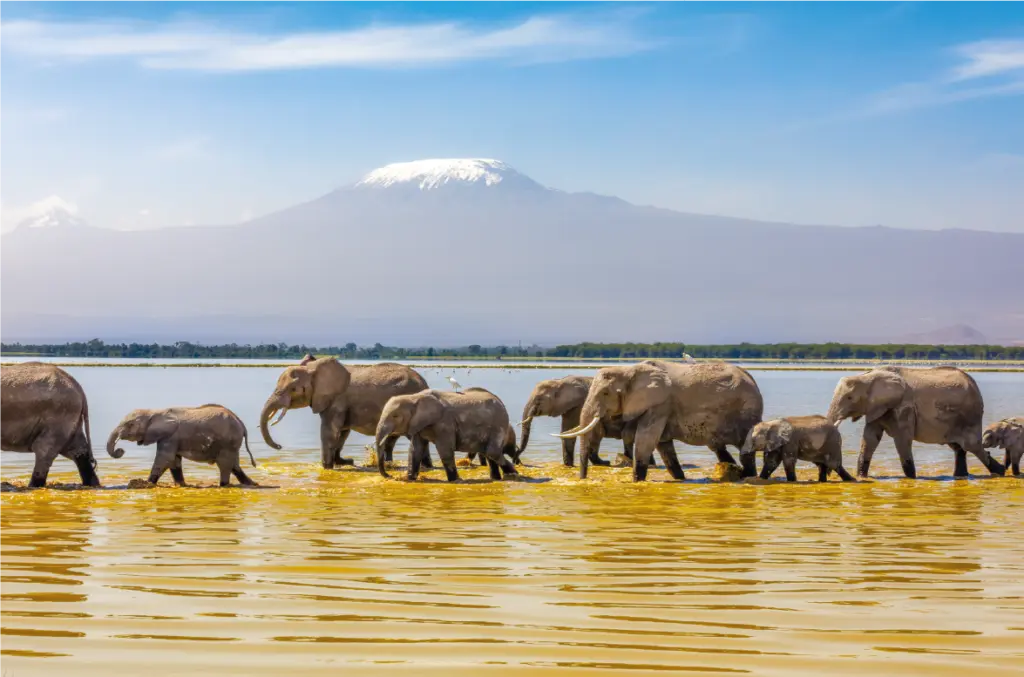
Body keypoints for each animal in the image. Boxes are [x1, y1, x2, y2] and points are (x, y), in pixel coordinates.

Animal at [107, 404, 257, 487]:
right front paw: (181, 485)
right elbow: (174, 461)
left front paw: (146, 484)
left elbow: (165, 458)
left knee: (224, 464)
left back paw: (223, 485)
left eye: (130, 424)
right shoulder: (172, 438)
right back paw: (252, 484)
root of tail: (241, 423)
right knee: (234, 465)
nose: (120, 450)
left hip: (227, 442)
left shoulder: (170, 436)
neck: (154, 412)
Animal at [260, 355, 429, 469]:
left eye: (293, 389)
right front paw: (344, 462)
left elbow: (330, 431)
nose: (280, 446)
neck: (313, 369)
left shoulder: (336, 401)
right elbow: (342, 433)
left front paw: (327, 467)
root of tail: (424, 383)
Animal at [375, 387, 519, 482]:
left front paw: (454, 481)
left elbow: (445, 450)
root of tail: (501, 402)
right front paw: (409, 479)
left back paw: (515, 475)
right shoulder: (418, 424)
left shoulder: (444, 423)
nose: (390, 476)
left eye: (395, 416)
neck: (414, 397)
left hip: (498, 425)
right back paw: (497, 478)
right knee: (489, 454)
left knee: (492, 452)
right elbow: (415, 450)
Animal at [555, 360, 763, 482]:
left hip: (745, 412)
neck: (629, 370)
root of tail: (751, 378)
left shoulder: (660, 404)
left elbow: (646, 440)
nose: (584, 481)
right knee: (719, 448)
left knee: (745, 448)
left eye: (605, 393)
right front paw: (680, 480)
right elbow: (663, 445)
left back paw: (748, 477)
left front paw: (637, 482)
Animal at [827, 366, 1005, 479]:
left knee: (971, 445)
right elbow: (870, 439)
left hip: (969, 415)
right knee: (958, 447)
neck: (868, 375)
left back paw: (1000, 472)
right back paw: (961, 476)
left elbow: (902, 440)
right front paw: (862, 477)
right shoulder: (877, 408)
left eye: (850, 398)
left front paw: (912, 478)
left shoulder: (904, 407)